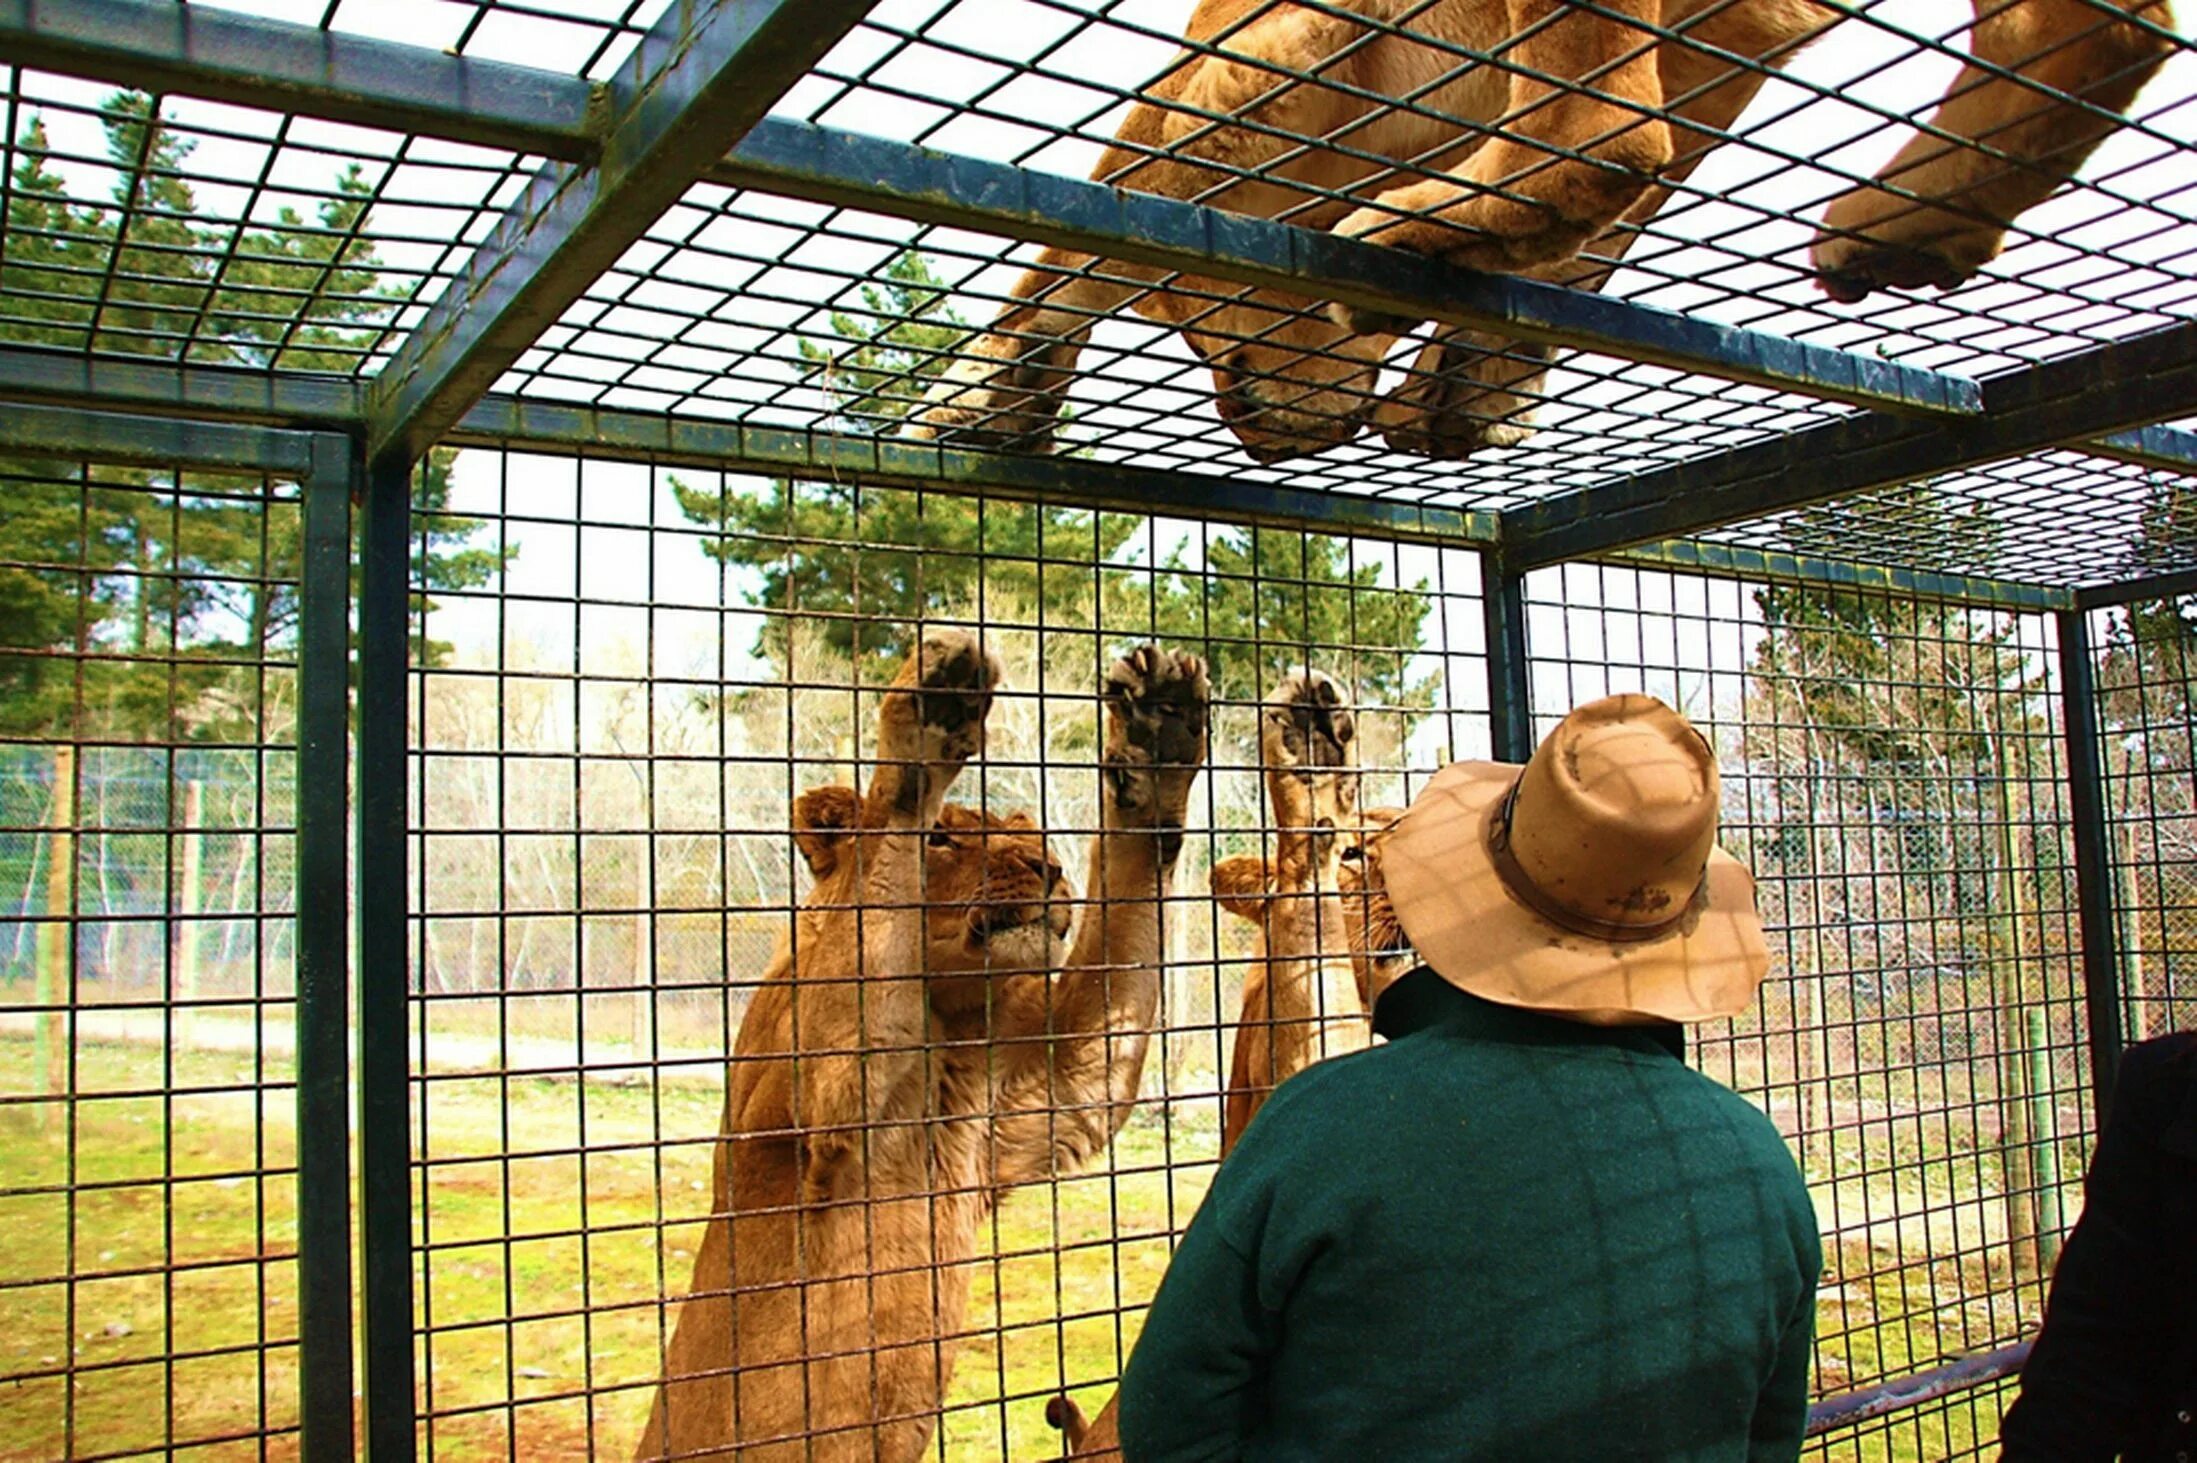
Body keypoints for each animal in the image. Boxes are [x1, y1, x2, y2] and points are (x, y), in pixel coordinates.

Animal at [905, 0, 2179, 461]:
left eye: (1188, 312)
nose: (1262, 439)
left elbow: (1093, 212)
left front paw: (986, 382)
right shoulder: (1732, 33)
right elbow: (1622, 209)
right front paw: (1482, 375)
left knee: (1602, 127)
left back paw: (1415, 220)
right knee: (2110, 25)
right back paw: (1911, 212)